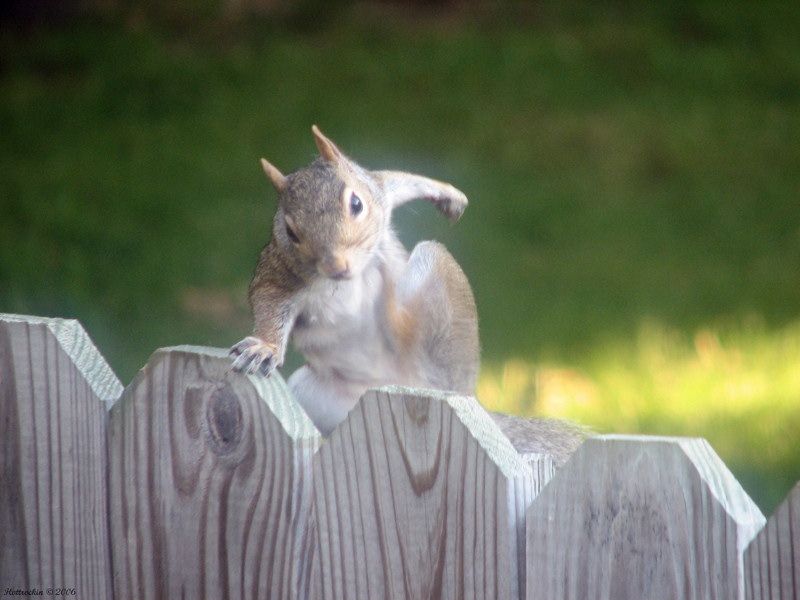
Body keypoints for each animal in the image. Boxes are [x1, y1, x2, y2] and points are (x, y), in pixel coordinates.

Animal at [231, 125, 482, 436]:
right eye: (290, 232)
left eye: (356, 203)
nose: (336, 266)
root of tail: (401, 383)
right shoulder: (279, 272)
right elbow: (269, 301)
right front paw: (265, 347)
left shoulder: (378, 191)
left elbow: (394, 180)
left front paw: (448, 195)